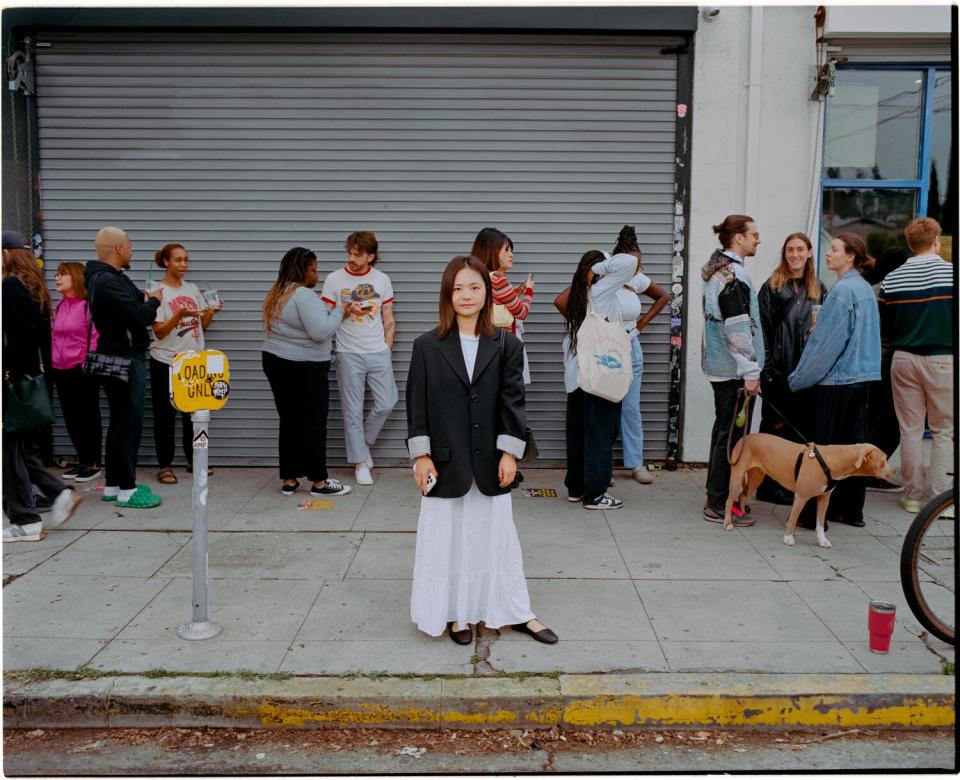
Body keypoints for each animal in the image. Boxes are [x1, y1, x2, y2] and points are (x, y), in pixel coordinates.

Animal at [724, 432, 896, 548]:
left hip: (756, 477)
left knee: (742, 496)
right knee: (729, 499)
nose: (894, 471)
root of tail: (745, 437)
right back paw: (727, 523)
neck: (833, 460)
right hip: (737, 474)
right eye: (883, 461)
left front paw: (822, 540)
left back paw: (742, 514)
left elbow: (819, 523)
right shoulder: (800, 497)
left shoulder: (824, 498)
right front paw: (788, 538)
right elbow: (793, 519)